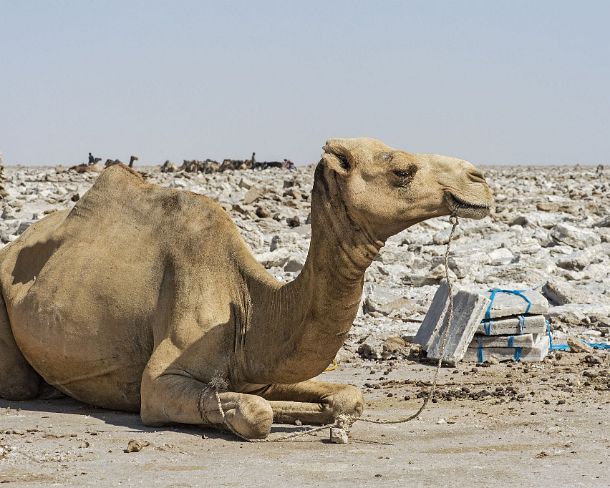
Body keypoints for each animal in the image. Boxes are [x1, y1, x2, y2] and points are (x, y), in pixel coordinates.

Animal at [0, 139, 490, 440]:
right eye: (402, 170)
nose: (480, 179)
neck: (251, 303)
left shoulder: (260, 368)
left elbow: (347, 397)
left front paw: (325, 416)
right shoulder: (159, 383)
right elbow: (256, 412)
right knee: (20, 386)